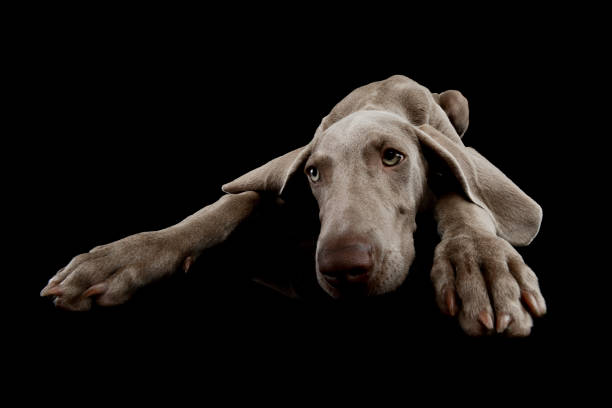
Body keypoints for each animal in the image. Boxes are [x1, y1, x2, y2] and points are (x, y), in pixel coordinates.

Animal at [39, 75, 544, 336]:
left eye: (393, 156)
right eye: (314, 174)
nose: (344, 267)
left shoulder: (447, 147)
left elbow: (463, 196)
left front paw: (481, 266)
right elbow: (232, 201)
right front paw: (118, 258)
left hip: (458, 101)